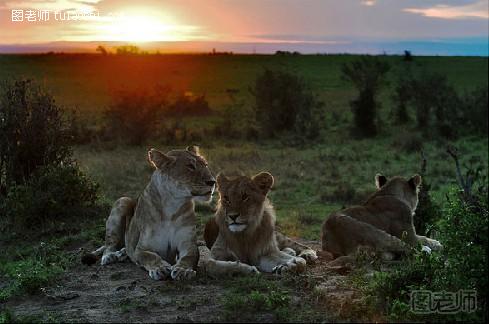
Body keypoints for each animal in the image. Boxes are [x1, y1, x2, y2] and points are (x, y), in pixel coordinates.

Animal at [82, 147, 215, 280]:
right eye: (190, 166)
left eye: (206, 165)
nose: (212, 182)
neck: (172, 206)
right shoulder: (142, 249)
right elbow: (150, 257)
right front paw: (160, 268)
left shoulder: (188, 244)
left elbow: (189, 257)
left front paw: (183, 270)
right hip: (123, 201)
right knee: (110, 243)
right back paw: (110, 256)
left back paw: (122, 253)